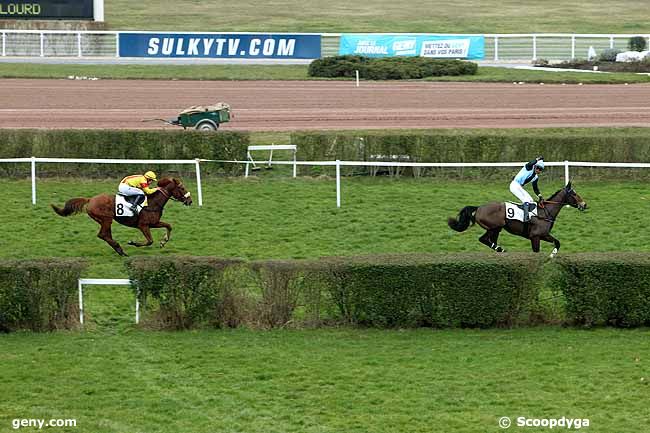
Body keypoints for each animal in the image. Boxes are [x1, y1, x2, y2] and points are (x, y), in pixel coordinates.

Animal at [50, 176, 192, 255]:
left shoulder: (154, 223)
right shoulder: (143, 225)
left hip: (104, 220)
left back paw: (119, 250)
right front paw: (133, 242)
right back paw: (120, 248)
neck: (153, 202)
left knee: (105, 235)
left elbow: (169, 226)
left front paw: (163, 242)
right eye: (182, 188)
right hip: (106, 219)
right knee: (103, 235)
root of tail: (90, 200)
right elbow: (150, 241)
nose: (190, 201)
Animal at [448, 181, 584, 256]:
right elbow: (537, 252)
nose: (584, 204)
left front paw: (551, 256)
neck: (545, 212)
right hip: (494, 227)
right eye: (574, 194)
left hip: (497, 229)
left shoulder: (544, 235)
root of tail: (479, 208)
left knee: (490, 241)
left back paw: (500, 250)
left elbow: (557, 242)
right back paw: (502, 250)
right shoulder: (535, 236)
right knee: (483, 239)